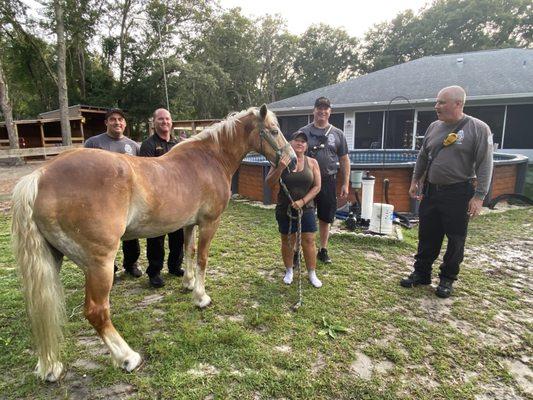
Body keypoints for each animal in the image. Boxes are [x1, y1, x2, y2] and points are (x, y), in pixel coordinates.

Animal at [11, 104, 296, 382]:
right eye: (273, 130)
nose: (292, 161)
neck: (210, 158)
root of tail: (40, 176)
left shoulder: (189, 224)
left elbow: (189, 252)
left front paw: (188, 283)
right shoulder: (209, 223)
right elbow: (202, 258)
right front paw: (201, 297)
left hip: (52, 259)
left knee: (41, 311)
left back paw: (50, 368)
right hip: (99, 265)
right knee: (96, 312)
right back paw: (127, 358)